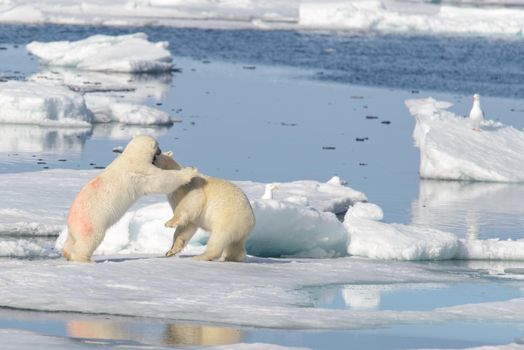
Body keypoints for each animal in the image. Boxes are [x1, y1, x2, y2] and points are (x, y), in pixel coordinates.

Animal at [63, 135, 199, 262]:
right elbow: (161, 180)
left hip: (77, 226)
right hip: (92, 221)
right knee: (89, 240)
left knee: (71, 240)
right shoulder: (141, 172)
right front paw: (190, 171)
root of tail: (71, 219)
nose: (160, 151)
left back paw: (67, 253)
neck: (132, 156)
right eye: (157, 145)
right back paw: (83, 259)